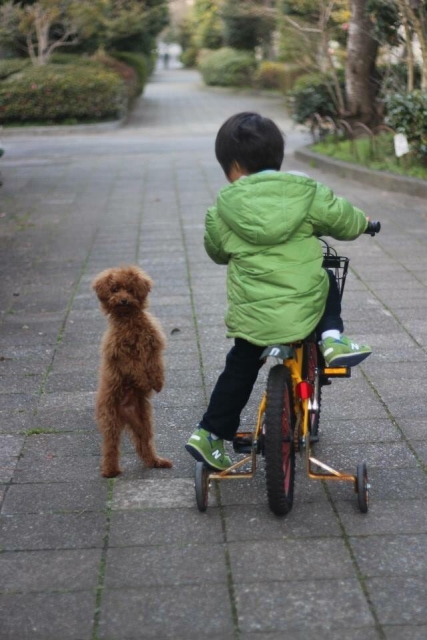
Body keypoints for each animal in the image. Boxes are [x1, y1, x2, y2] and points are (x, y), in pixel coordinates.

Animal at [93, 262, 173, 478]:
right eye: (114, 289)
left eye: (129, 289)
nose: (123, 300)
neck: (129, 320)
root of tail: (125, 413)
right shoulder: (121, 356)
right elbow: (136, 367)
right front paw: (145, 382)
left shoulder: (153, 346)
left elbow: (155, 365)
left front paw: (158, 382)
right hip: (110, 419)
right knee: (110, 447)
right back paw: (110, 471)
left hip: (143, 421)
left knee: (144, 443)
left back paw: (156, 461)